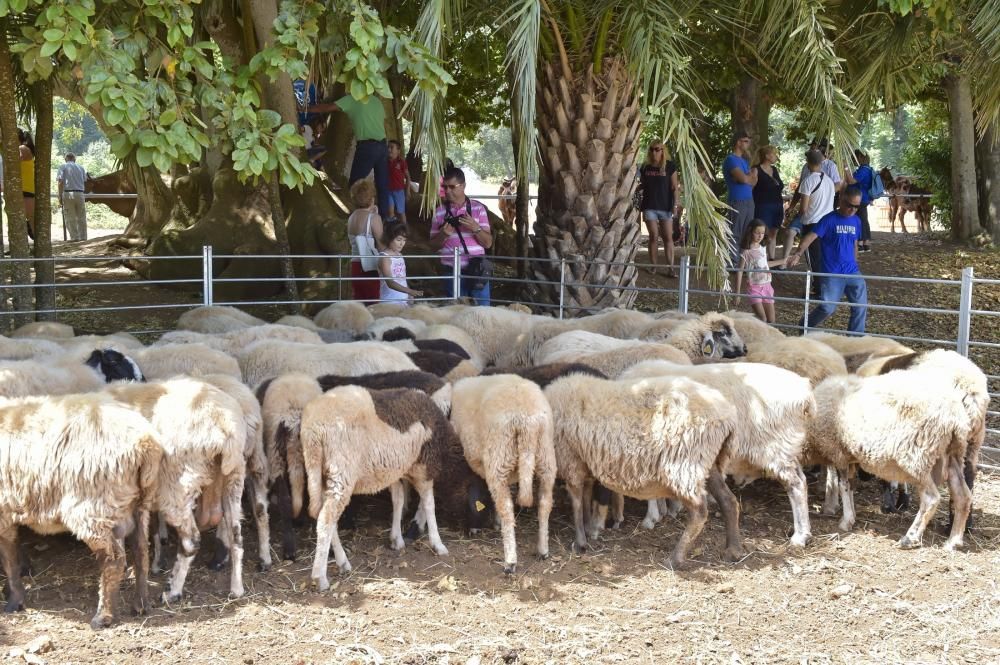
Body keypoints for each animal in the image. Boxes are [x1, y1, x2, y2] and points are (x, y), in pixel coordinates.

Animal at [452, 376, 560, 572]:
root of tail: (527, 421)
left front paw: (476, 526)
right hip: (546, 457)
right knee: (545, 503)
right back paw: (542, 550)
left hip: (499, 457)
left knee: (507, 508)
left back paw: (510, 561)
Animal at [544, 374, 740, 564]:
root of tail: (728, 415)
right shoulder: (583, 460)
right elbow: (585, 498)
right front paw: (587, 528)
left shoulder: (570, 458)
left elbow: (576, 502)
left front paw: (580, 542)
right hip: (707, 460)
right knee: (728, 500)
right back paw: (732, 551)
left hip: (684, 463)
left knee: (699, 511)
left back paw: (675, 559)